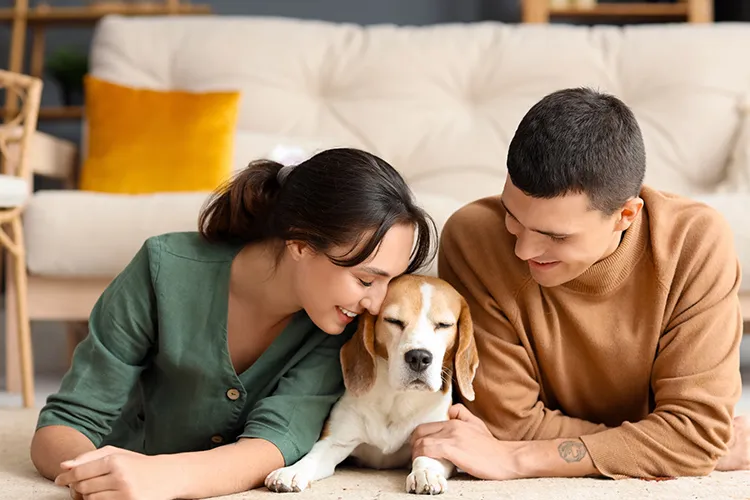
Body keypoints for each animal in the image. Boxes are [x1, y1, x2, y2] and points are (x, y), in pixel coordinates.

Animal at [268, 274, 478, 496]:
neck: (398, 399)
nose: (419, 357)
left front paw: (426, 474)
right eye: (393, 321)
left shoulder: (435, 437)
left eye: (444, 325)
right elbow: (312, 457)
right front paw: (291, 471)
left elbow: (427, 457)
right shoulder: (335, 441)